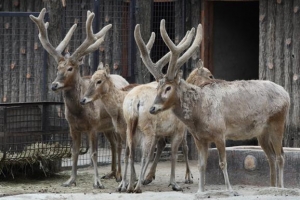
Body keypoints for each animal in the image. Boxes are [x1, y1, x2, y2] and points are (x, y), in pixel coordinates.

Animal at [29, 8, 129, 188]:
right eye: (58, 68)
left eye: (70, 68)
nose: (54, 85)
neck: (78, 111)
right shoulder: (73, 128)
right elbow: (75, 152)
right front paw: (70, 180)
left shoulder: (93, 126)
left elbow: (94, 153)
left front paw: (96, 182)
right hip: (107, 127)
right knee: (113, 144)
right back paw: (112, 173)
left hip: (114, 123)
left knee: (119, 145)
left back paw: (118, 175)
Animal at [135, 19, 290, 193]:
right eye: (157, 87)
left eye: (168, 88)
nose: (152, 108)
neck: (198, 116)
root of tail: (287, 94)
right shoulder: (199, 138)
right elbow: (202, 165)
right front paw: (200, 191)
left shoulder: (219, 132)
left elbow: (223, 163)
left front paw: (230, 190)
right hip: (261, 132)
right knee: (271, 157)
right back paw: (272, 187)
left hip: (278, 122)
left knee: (281, 156)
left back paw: (281, 188)